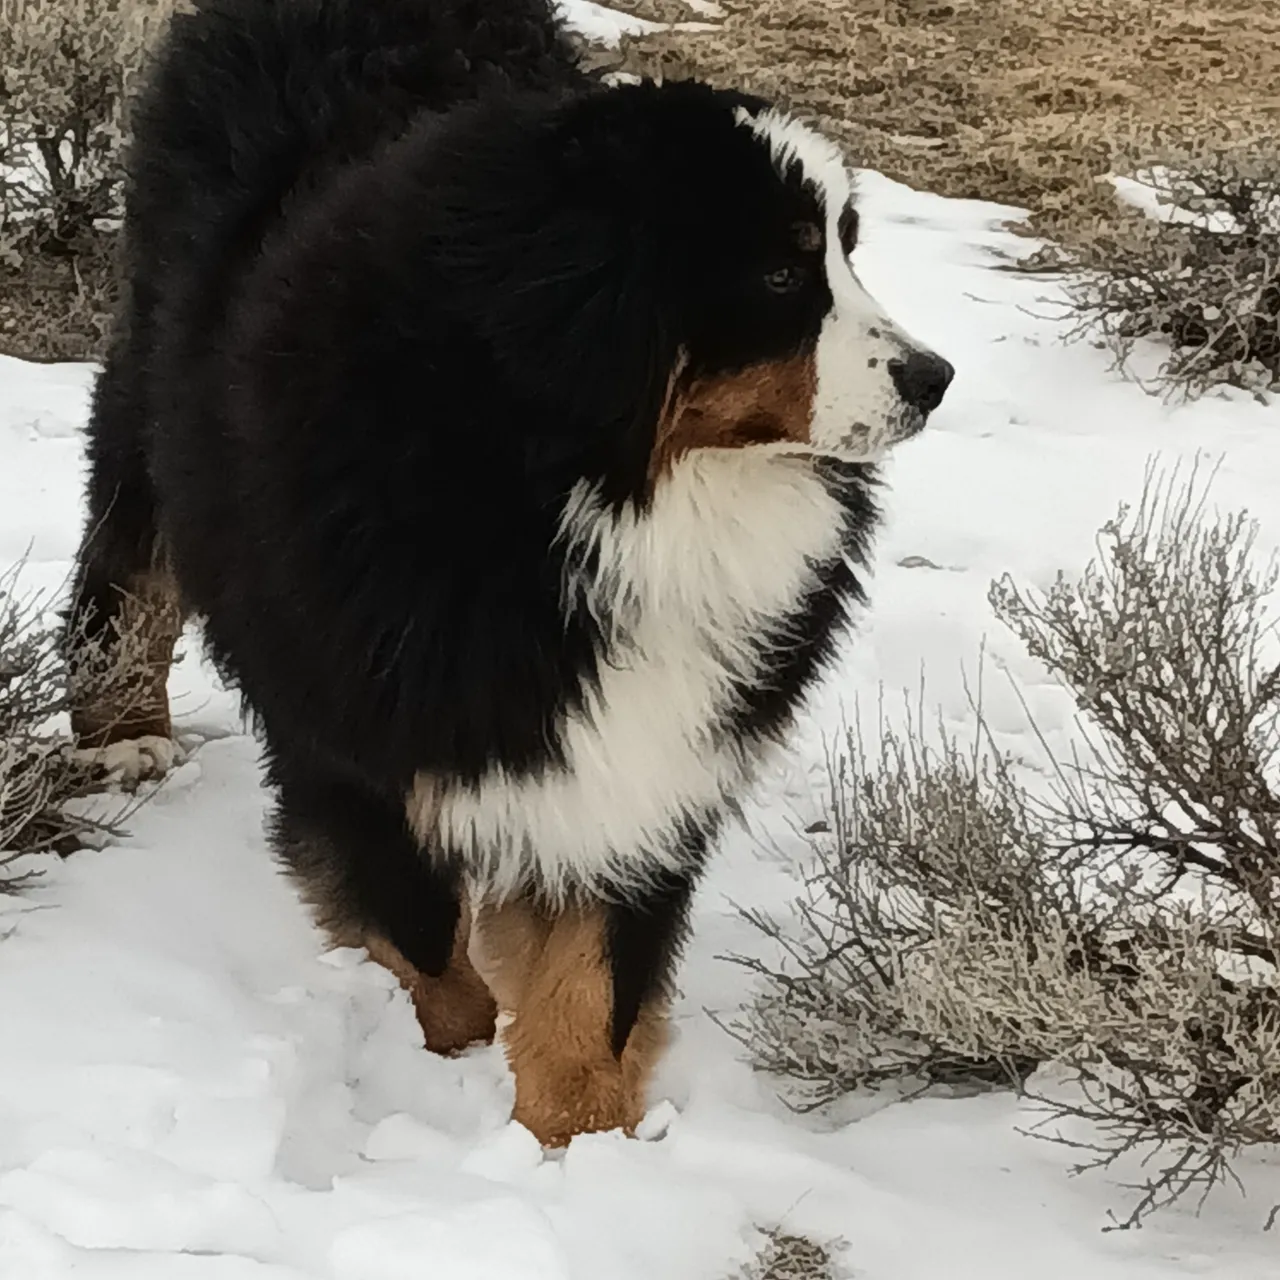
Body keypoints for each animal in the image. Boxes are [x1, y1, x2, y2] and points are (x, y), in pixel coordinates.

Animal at [67, 0, 952, 1146]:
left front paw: (578, 1142)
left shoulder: (643, 766)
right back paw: (121, 731)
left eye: (844, 252)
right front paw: (453, 1060)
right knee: (129, 556)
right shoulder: (355, 738)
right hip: (150, 373)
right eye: (777, 274)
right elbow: (429, 953)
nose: (935, 377)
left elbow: (588, 987)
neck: (606, 493)